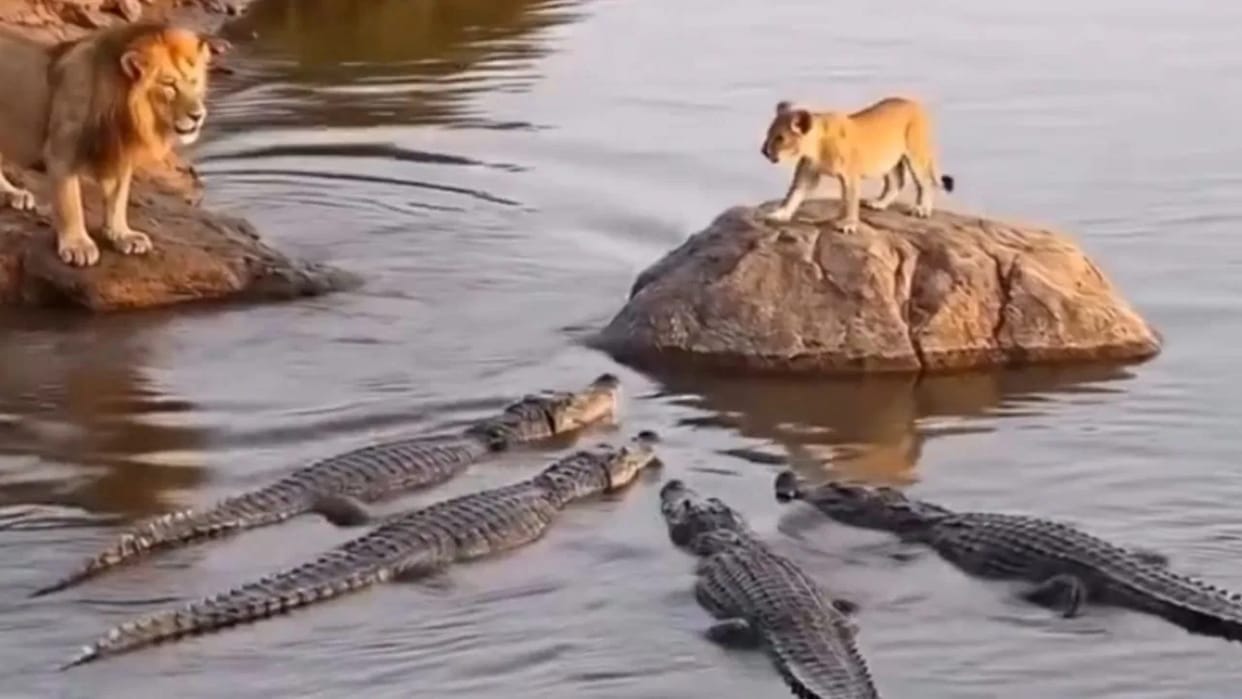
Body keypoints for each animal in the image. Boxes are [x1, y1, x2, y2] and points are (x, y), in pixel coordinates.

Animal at [0, 22, 212, 267]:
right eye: (169, 84)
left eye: (194, 82)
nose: (198, 115)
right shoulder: (62, 149)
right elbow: (70, 202)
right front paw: (78, 245)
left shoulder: (120, 151)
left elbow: (118, 199)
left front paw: (122, 235)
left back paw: (12, 194)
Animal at [759, 96, 955, 234]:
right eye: (768, 133)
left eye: (780, 138)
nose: (763, 152)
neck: (815, 147)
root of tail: (913, 102)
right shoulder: (808, 172)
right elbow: (794, 195)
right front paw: (780, 214)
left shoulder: (850, 176)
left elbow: (850, 201)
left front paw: (848, 224)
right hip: (887, 160)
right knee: (896, 181)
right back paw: (879, 204)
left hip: (915, 152)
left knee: (925, 182)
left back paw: (921, 209)